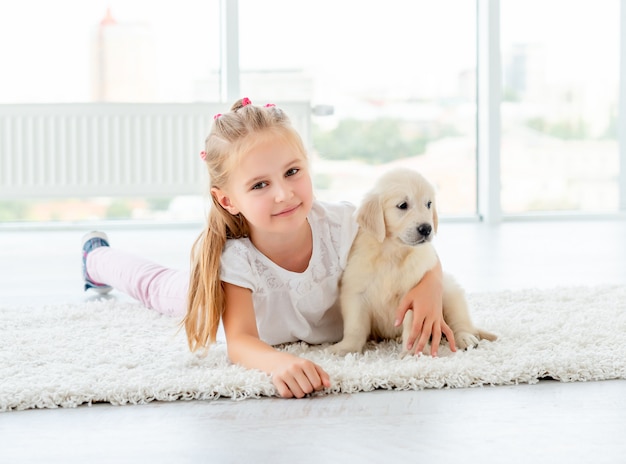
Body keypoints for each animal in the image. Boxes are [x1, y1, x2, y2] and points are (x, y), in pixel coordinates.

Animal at [330, 169, 494, 358]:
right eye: (402, 205)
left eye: (428, 204)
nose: (427, 229)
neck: (393, 252)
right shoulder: (355, 292)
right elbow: (355, 327)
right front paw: (346, 348)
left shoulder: (414, 296)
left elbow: (412, 327)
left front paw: (411, 353)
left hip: (449, 292)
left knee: (460, 322)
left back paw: (466, 338)